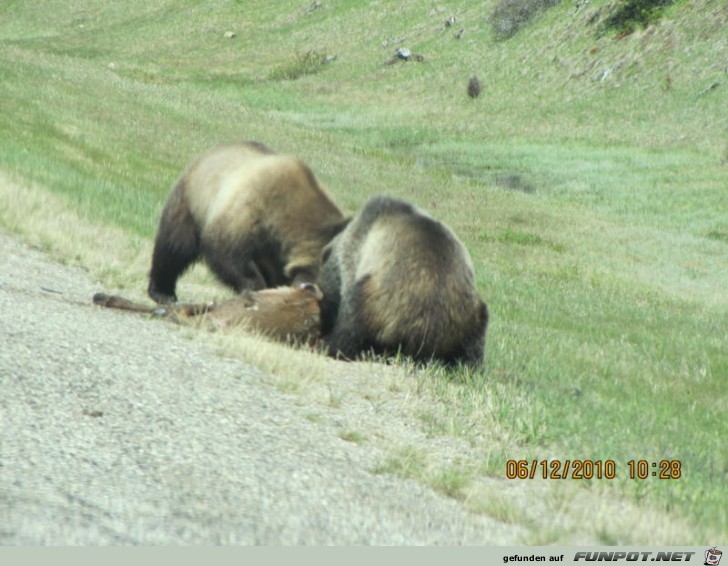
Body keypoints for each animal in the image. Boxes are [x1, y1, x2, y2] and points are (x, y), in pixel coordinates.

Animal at [148, 142, 346, 306]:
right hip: (192, 202)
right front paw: (256, 289)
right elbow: (227, 252)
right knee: (174, 247)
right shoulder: (252, 209)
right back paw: (162, 292)